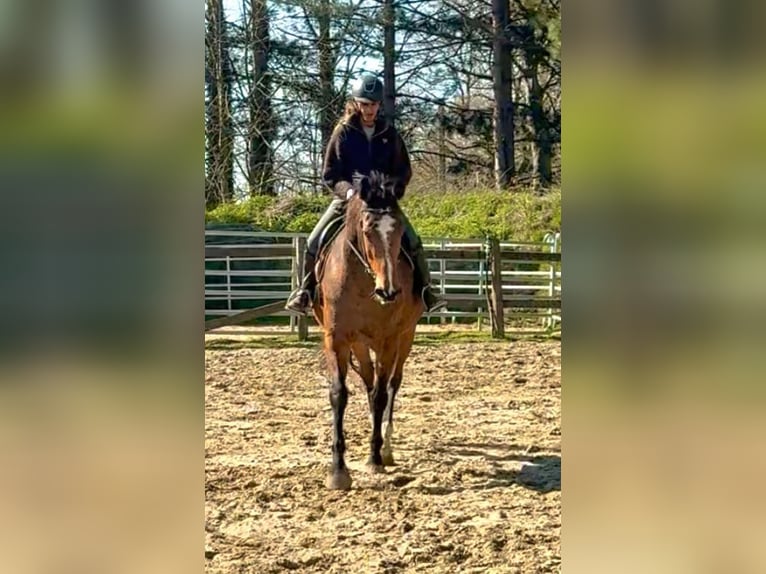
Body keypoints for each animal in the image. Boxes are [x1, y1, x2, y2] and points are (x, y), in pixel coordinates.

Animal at [312, 171, 425, 490]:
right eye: (366, 229)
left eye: (398, 231)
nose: (388, 291)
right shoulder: (335, 338)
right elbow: (339, 394)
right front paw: (338, 471)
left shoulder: (388, 340)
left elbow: (381, 395)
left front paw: (374, 458)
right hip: (360, 345)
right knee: (368, 379)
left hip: (405, 337)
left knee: (391, 384)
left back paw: (386, 446)